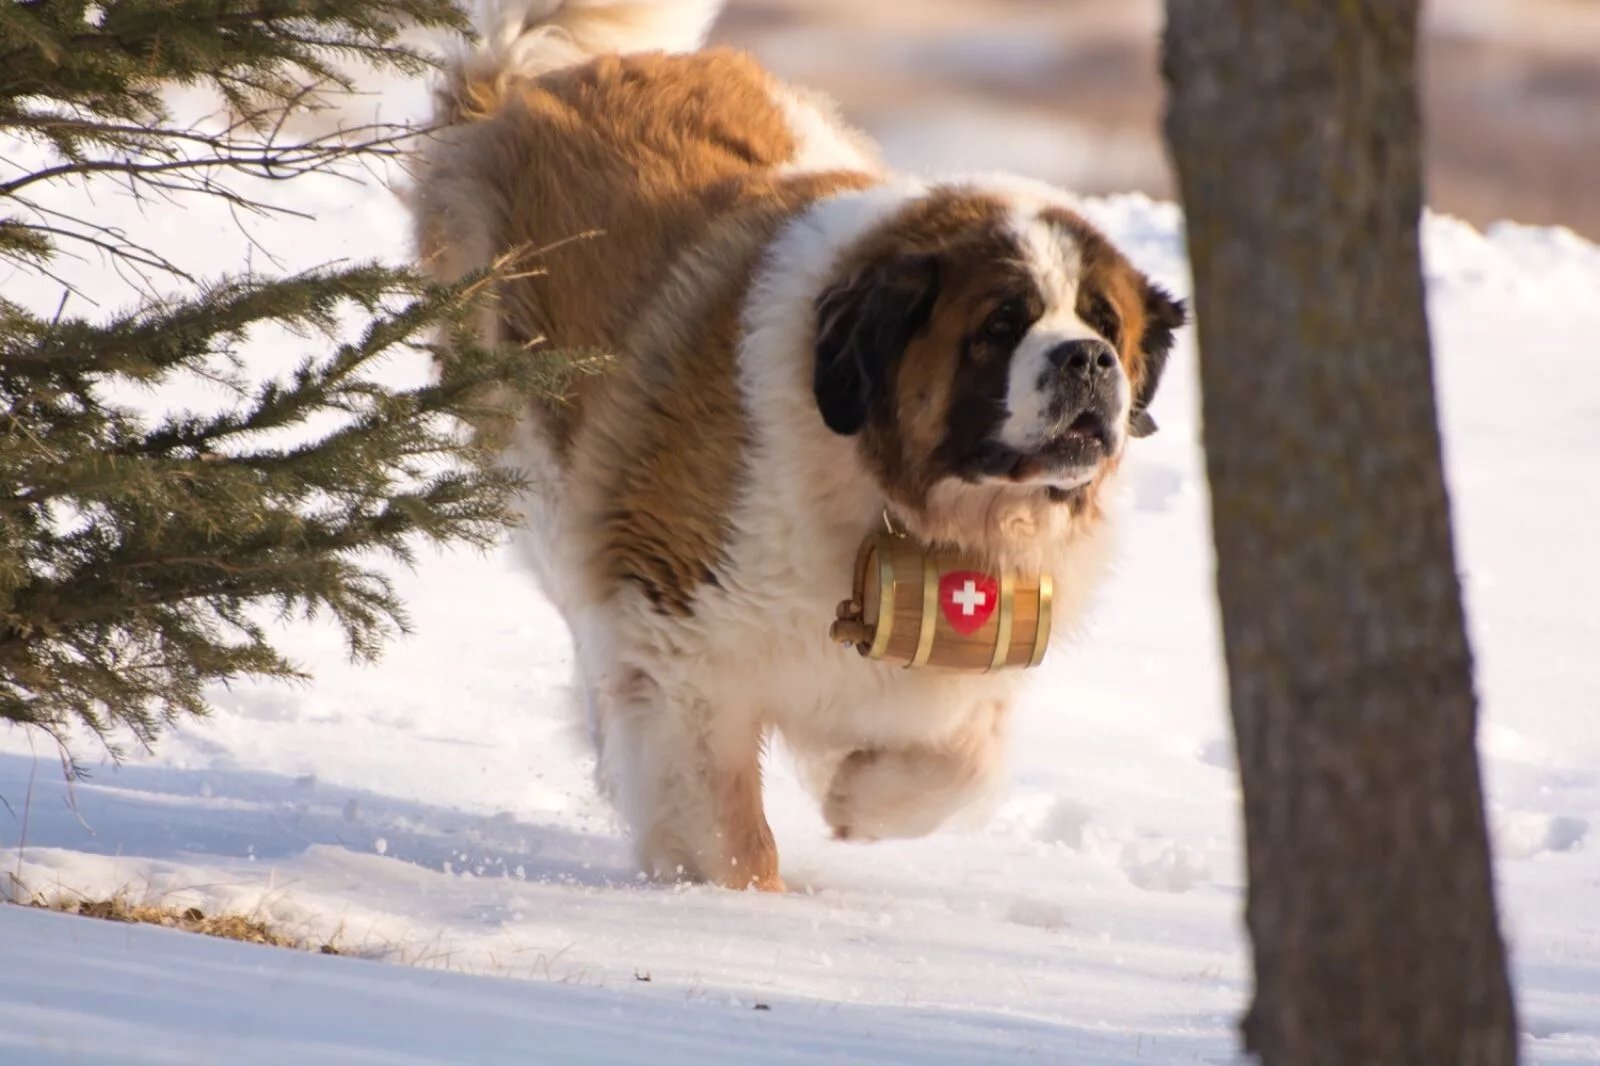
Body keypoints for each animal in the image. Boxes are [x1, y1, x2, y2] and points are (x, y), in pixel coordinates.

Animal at [406, 0, 1184, 889]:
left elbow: (970, 762)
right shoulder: (680, 634)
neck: (898, 495)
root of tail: (539, 74)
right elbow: (726, 827)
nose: (1086, 359)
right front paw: (737, 901)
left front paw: (859, 798)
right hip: (535, 453)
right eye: (999, 326)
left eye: (1107, 326)